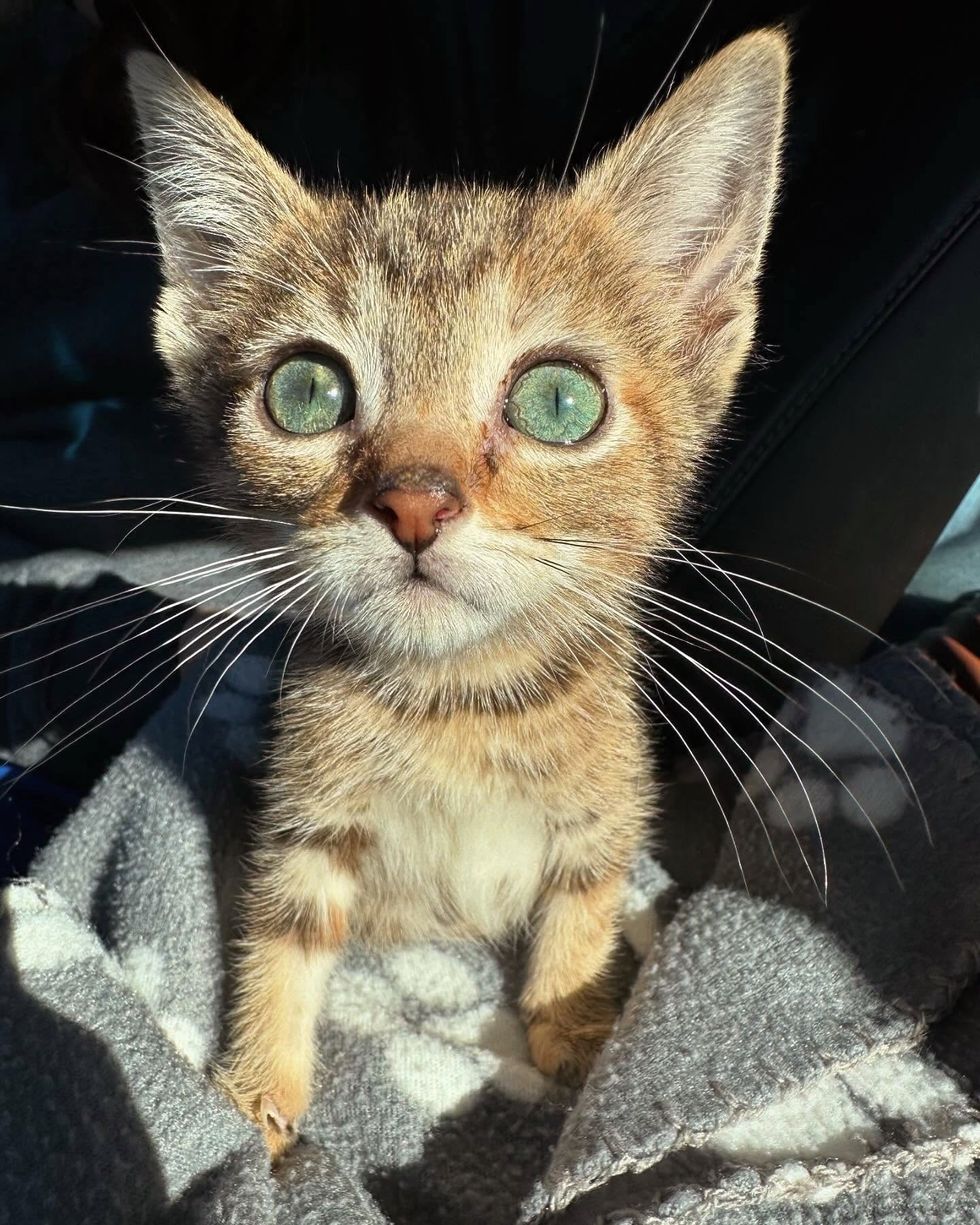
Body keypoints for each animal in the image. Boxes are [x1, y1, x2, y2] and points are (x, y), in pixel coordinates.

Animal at [128, 28, 788, 1156]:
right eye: (306, 390)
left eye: (558, 400)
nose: (413, 502)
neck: (456, 705)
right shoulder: (304, 811)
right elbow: (279, 930)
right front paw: (255, 1092)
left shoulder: (606, 799)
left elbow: (584, 899)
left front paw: (577, 1024)